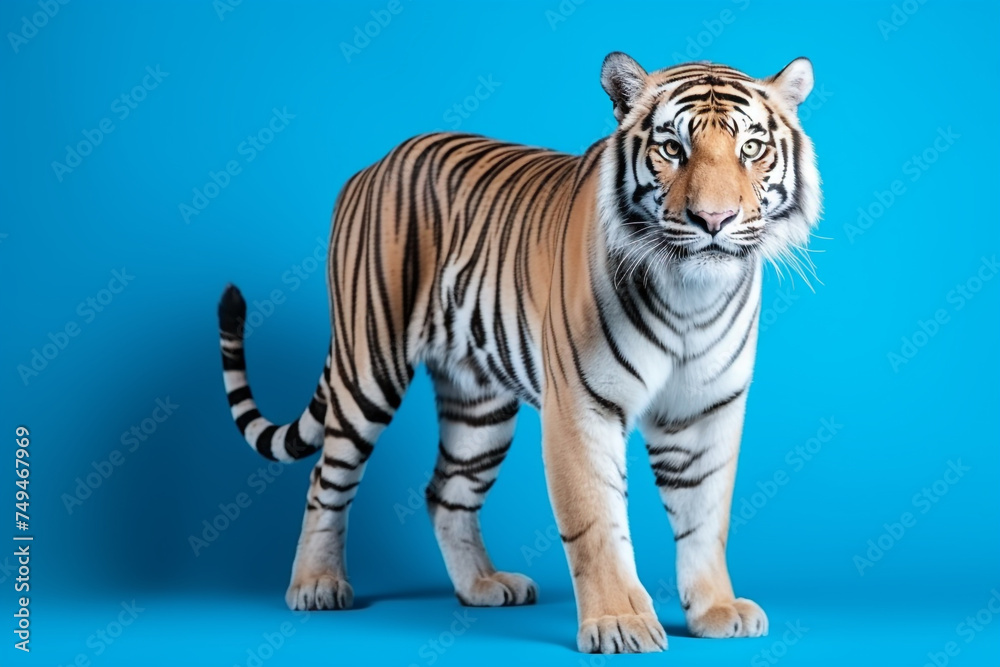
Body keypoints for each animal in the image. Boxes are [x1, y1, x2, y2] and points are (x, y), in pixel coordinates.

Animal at [217, 52, 820, 654]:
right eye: (673, 148)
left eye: (751, 148)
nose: (713, 221)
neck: (691, 297)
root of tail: (372, 165)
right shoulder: (581, 407)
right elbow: (596, 522)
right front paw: (618, 621)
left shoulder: (704, 412)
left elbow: (705, 517)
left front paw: (717, 608)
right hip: (368, 367)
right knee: (328, 477)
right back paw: (316, 583)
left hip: (478, 403)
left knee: (446, 490)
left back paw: (482, 584)